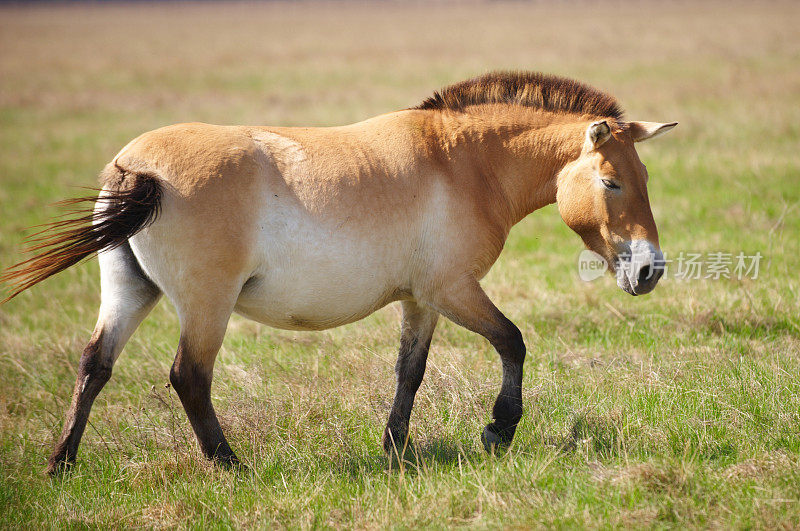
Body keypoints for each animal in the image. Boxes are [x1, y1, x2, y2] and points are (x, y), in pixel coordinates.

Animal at [0, 70, 676, 474]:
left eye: (645, 178)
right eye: (612, 182)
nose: (650, 270)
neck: (461, 162)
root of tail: (137, 169)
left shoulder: (421, 300)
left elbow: (410, 371)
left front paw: (395, 450)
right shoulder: (454, 290)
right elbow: (513, 342)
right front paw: (498, 431)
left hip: (129, 291)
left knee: (95, 365)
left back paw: (62, 464)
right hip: (206, 305)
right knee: (189, 376)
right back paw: (229, 464)